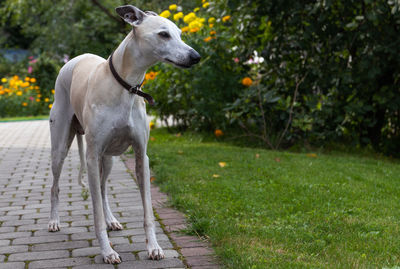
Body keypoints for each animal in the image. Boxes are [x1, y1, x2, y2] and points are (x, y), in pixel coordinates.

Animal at [47, 5, 200, 262]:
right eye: (163, 34)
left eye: (179, 33)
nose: (196, 56)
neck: (125, 86)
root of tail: (74, 60)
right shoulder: (91, 156)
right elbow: (95, 214)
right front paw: (107, 252)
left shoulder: (141, 155)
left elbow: (147, 211)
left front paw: (154, 247)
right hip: (60, 147)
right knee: (56, 186)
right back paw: (54, 221)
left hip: (107, 159)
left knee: (102, 189)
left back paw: (112, 220)